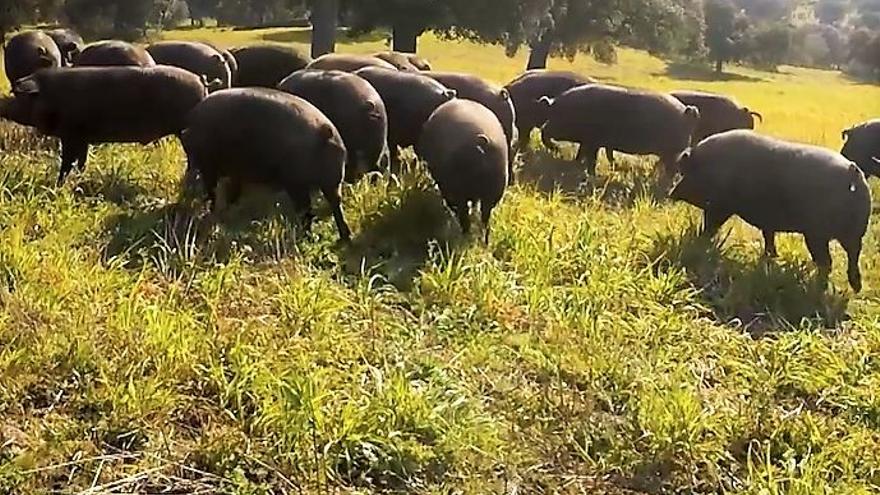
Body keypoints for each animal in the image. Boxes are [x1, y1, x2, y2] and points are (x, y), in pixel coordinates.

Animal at [0, 65, 206, 183]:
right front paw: (80, 176)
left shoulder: (70, 135)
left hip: (185, 132)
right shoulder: (82, 138)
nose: (3, 105)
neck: (51, 97)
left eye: (18, 97)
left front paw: (59, 184)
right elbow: (81, 160)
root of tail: (200, 80)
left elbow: (67, 161)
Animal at [180, 91, 352, 244]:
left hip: (297, 181)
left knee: (306, 208)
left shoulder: (211, 166)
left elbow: (214, 191)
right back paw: (343, 238)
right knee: (335, 202)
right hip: (333, 178)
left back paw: (306, 237)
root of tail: (324, 130)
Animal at [418, 98, 508, 242]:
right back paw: (484, 240)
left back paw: (465, 235)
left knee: (465, 215)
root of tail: (480, 146)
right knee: (485, 217)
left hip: (459, 191)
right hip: (494, 190)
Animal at [540, 84, 696, 177]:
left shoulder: (594, 141)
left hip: (673, 151)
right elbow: (582, 154)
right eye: (551, 113)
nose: (544, 128)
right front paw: (576, 165)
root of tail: (686, 112)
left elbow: (592, 158)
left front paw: (591, 175)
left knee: (672, 169)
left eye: (558, 114)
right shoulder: (588, 141)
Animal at [672, 132, 868, 292]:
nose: (671, 192)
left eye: (686, 172)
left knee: (827, 262)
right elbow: (768, 236)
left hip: (816, 234)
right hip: (854, 233)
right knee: (853, 255)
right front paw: (771, 257)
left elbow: (710, 227)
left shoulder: (720, 206)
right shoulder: (766, 221)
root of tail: (853, 171)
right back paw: (855, 287)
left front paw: (701, 241)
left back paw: (817, 288)